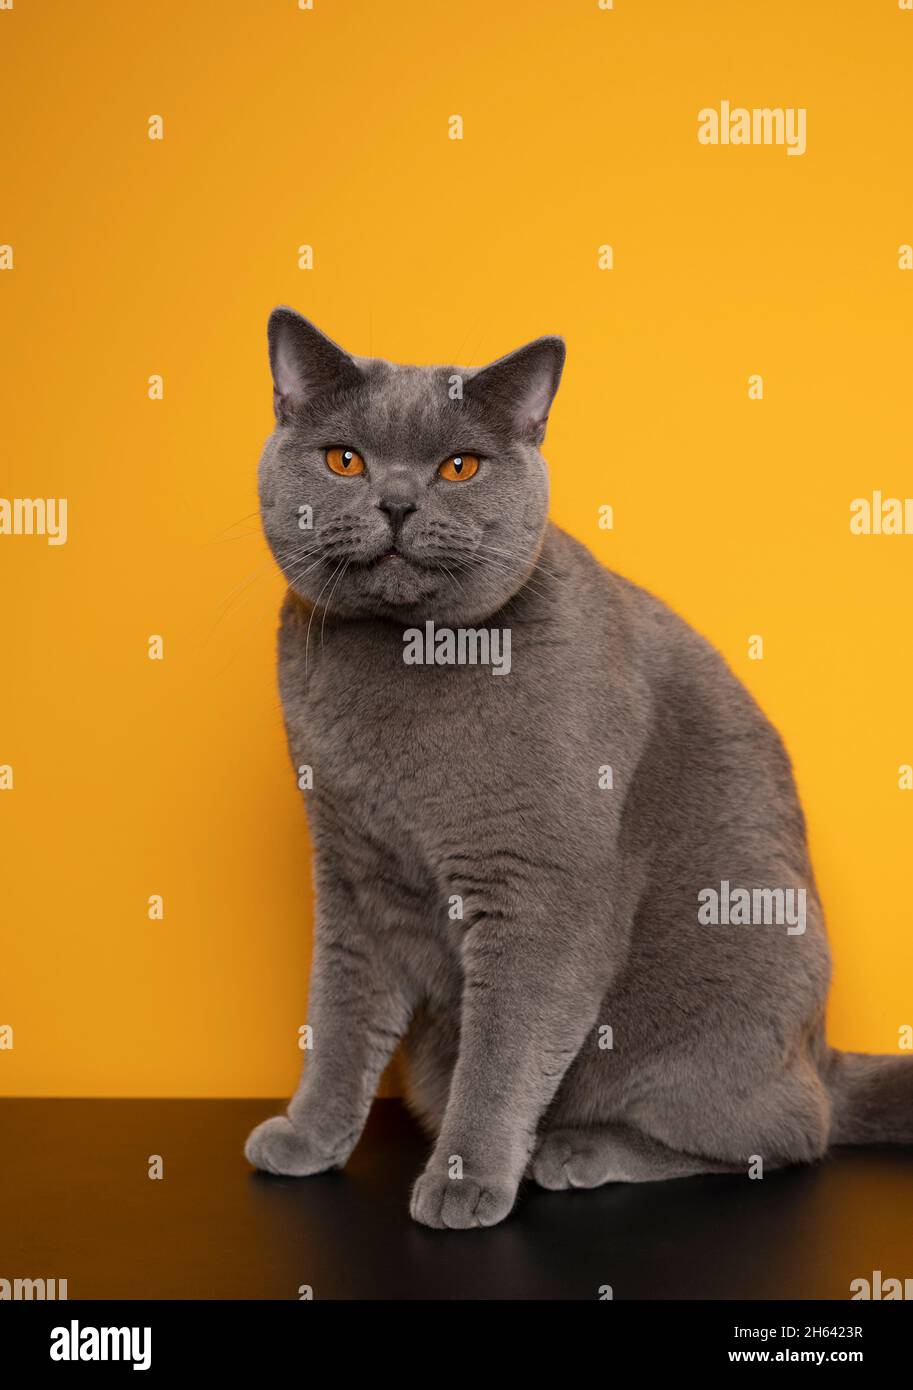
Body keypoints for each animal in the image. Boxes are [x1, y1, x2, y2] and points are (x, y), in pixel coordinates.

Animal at [244, 312, 911, 1228]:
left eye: (460, 466)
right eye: (345, 459)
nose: (397, 501)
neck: (405, 654)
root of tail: (820, 1051)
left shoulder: (541, 888)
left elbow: (504, 1048)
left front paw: (463, 1180)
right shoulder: (352, 871)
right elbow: (340, 1018)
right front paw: (310, 1137)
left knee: (786, 1133)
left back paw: (576, 1151)